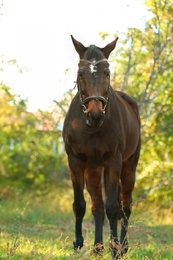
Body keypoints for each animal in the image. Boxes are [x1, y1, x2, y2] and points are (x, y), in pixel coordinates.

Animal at [62, 35, 141, 258]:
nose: (95, 116)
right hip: (94, 170)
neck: (91, 129)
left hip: (128, 167)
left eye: (107, 72)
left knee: (125, 205)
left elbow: (113, 207)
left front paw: (114, 249)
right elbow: (80, 204)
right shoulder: (75, 162)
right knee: (97, 206)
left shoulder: (113, 162)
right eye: (81, 73)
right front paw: (78, 244)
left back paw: (122, 246)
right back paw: (97, 248)